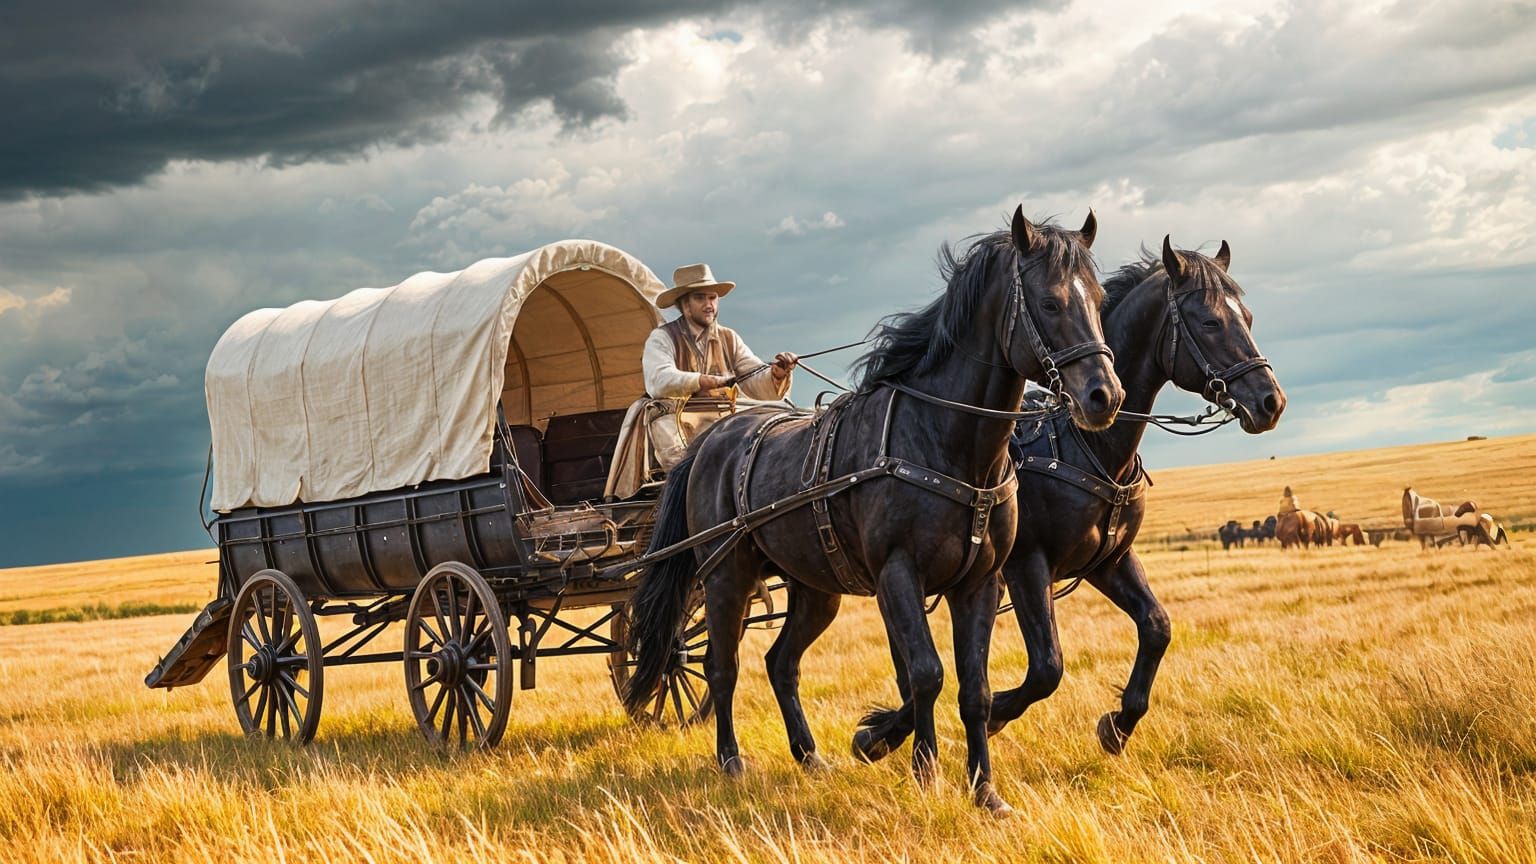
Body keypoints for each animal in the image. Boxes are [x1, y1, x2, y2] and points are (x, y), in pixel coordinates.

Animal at [623, 208, 1123, 814]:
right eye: (1049, 303)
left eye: (1099, 299)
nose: (1104, 396)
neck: (942, 440)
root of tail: (710, 442)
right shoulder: (898, 573)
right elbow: (925, 674)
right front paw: (919, 767)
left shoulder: (979, 581)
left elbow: (973, 687)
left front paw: (984, 790)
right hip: (725, 580)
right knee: (723, 668)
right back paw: (731, 761)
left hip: (815, 590)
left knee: (781, 663)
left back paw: (809, 756)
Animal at [852, 237, 1284, 759]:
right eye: (1210, 321)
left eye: (1248, 317)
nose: (1270, 402)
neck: (1086, 444)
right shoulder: (1026, 566)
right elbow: (1047, 667)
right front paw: (995, 714)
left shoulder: (1108, 560)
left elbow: (1157, 627)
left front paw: (1119, 725)